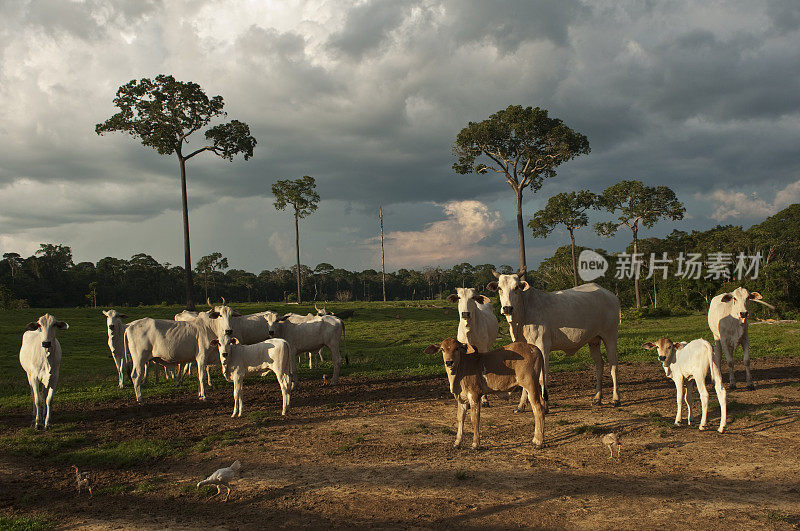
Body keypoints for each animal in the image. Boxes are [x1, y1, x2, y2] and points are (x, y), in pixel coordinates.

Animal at [484, 266, 620, 412]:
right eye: (499, 288)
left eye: (516, 288)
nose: (507, 308)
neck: (523, 314)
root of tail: (609, 294)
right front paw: (520, 406)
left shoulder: (543, 346)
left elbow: (543, 378)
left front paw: (545, 405)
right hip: (594, 340)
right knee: (599, 364)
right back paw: (597, 398)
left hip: (610, 335)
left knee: (613, 366)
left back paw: (616, 399)